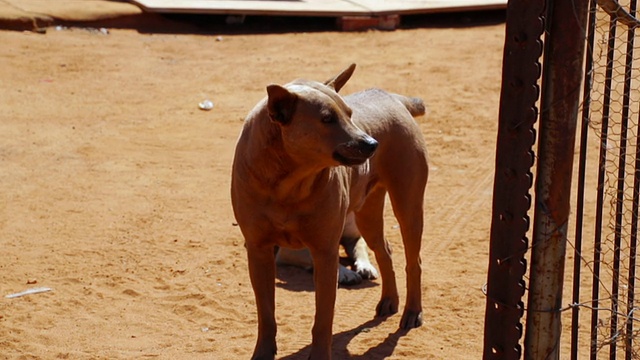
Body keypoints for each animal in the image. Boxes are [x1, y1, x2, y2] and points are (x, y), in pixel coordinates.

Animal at [231, 64, 430, 360]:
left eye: (349, 113)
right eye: (326, 118)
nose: (373, 144)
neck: (288, 181)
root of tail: (393, 98)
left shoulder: (324, 251)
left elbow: (323, 320)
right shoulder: (258, 251)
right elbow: (266, 316)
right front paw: (263, 353)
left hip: (409, 205)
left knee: (413, 260)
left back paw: (412, 311)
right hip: (367, 214)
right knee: (385, 251)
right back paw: (389, 301)